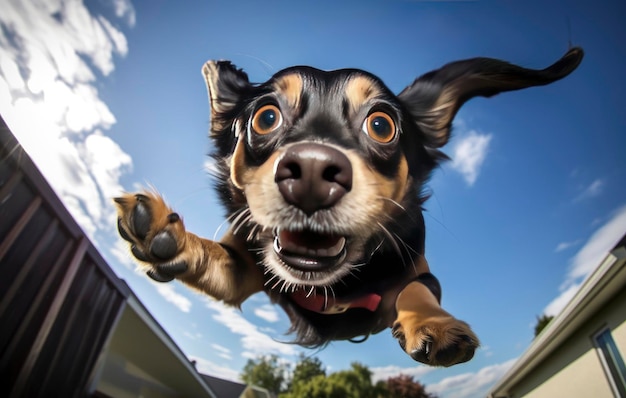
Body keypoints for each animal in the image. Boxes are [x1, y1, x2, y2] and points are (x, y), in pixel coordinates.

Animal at [113, 48, 580, 368]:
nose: (312, 171)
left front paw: (434, 324)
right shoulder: (242, 272)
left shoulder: (419, 271)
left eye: (382, 125)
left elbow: (414, 290)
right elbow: (214, 257)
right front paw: (168, 237)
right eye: (265, 118)